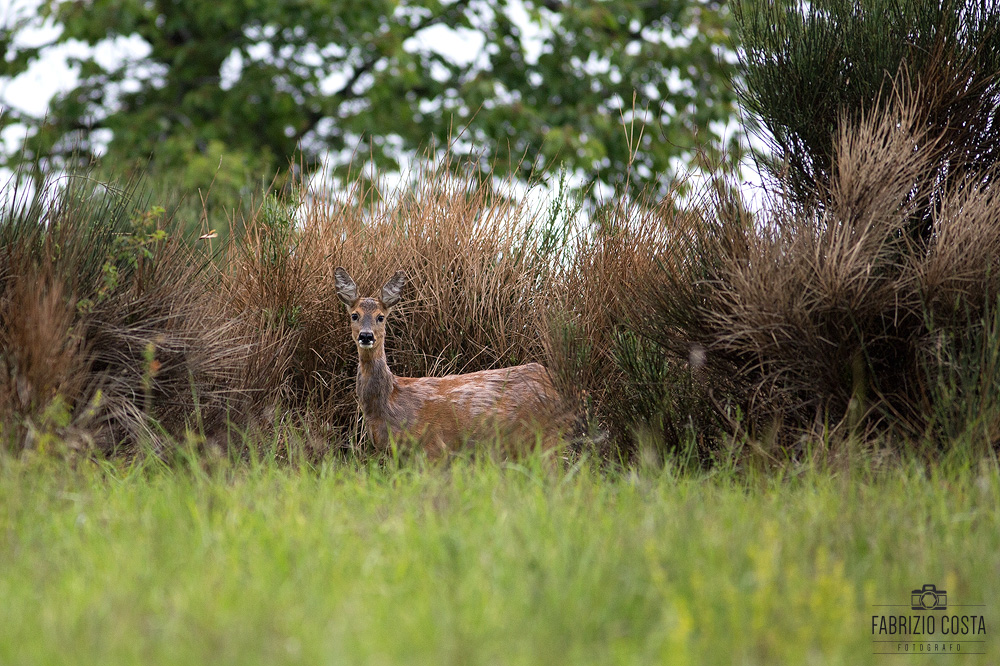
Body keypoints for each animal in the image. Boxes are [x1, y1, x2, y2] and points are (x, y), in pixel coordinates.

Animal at [336, 268, 564, 454]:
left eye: (381, 317)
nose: (366, 336)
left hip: (543, 434)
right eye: (354, 315)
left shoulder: (433, 446)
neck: (390, 402)